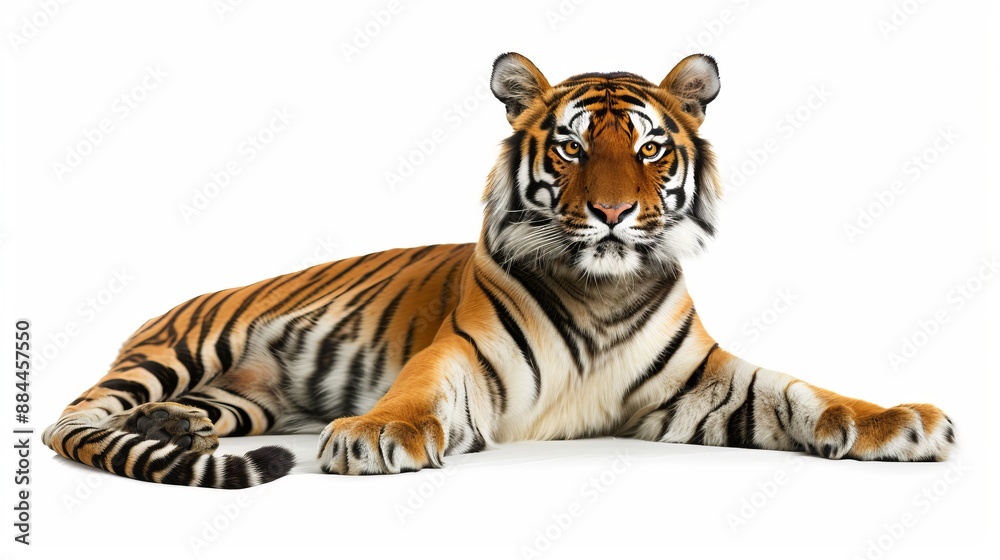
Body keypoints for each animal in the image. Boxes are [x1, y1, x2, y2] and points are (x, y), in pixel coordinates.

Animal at [43, 53, 956, 488]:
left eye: (650, 149)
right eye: (574, 147)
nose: (614, 212)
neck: (605, 290)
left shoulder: (702, 386)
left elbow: (805, 392)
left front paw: (900, 422)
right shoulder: (463, 358)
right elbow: (415, 394)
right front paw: (372, 436)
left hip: (240, 400)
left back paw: (170, 431)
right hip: (180, 352)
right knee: (69, 423)